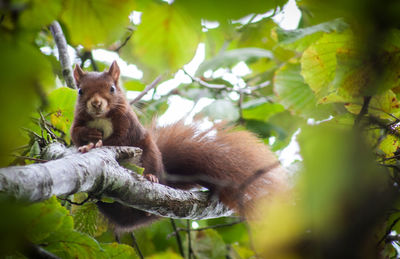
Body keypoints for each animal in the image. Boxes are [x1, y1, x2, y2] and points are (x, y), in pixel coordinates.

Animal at [69, 62, 288, 232]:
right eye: (80, 91)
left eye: (112, 88)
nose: (96, 103)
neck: (101, 118)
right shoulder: (78, 121)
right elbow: (75, 134)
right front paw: (88, 141)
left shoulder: (127, 124)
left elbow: (119, 140)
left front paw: (99, 143)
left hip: (150, 154)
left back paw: (151, 177)